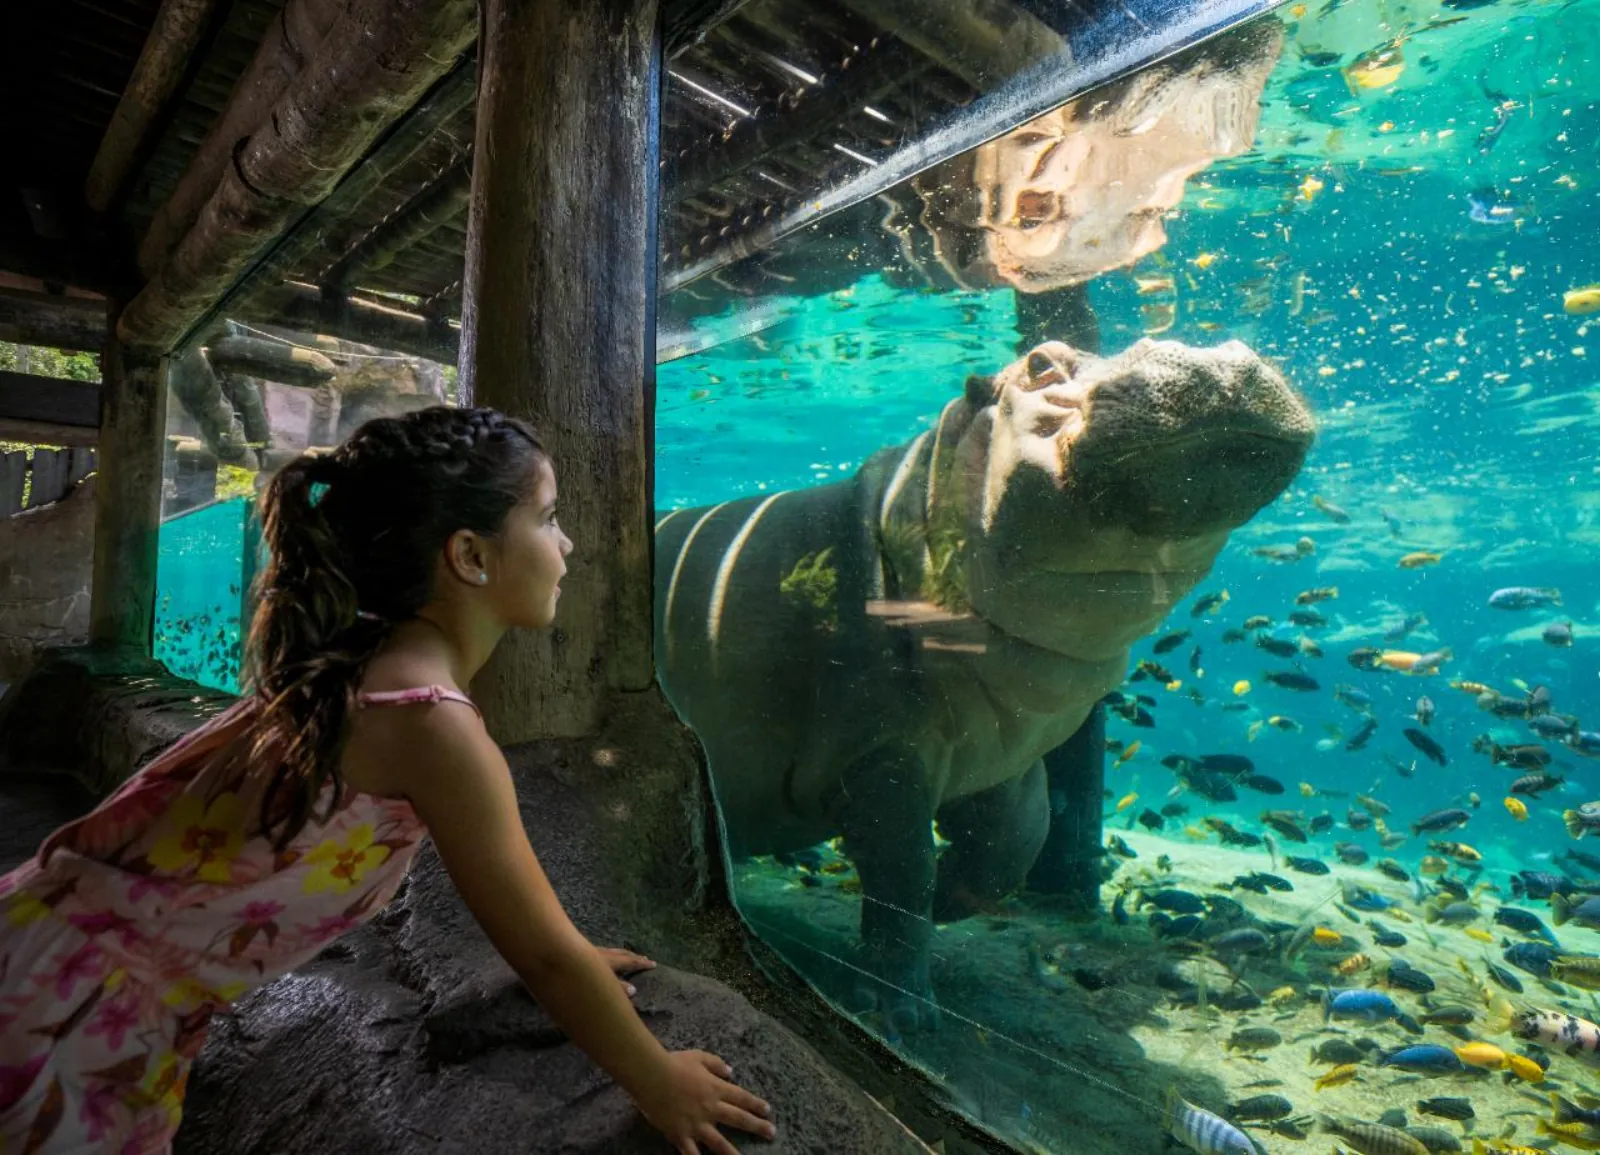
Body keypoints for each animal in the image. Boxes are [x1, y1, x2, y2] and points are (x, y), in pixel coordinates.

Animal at [654, 338, 1314, 1032]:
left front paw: (950, 898)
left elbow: (1017, 841)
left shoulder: (1003, 755)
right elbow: (904, 869)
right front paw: (900, 1014)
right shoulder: (880, 754)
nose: (1215, 355)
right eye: (1040, 363)